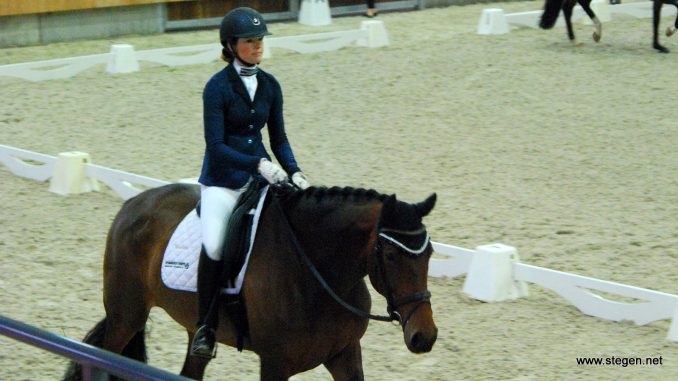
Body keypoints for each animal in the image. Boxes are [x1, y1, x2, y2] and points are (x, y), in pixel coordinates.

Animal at [62, 183, 436, 378]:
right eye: (391, 255)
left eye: (430, 252)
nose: (424, 337)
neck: (318, 273)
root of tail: (133, 203)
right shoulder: (275, 364)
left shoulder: (345, 353)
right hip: (127, 316)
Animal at [540, 0, 678, 52]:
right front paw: (659, 45)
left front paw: (667, 33)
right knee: (578, 5)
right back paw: (595, 33)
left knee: (568, 7)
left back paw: (577, 40)